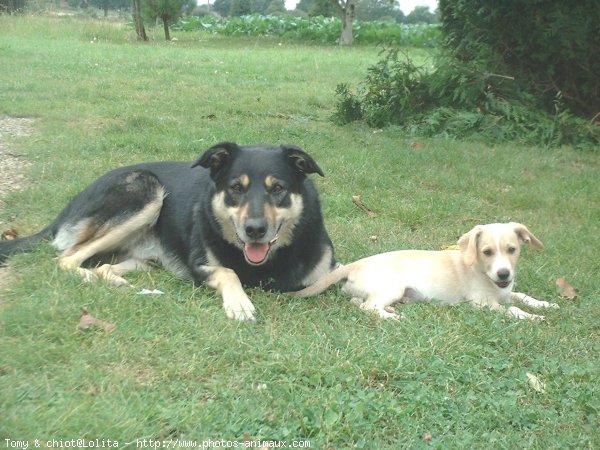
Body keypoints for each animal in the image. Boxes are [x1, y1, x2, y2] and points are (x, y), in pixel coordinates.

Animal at [0, 142, 338, 320]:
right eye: (235, 188)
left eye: (278, 188)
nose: (254, 230)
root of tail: (73, 201)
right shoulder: (200, 266)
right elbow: (228, 271)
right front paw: (239, 303)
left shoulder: (327, 269)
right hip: (146, 190)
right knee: (66, 258)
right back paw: (90, 276)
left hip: (143, 257)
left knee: (106, 265)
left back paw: (113, 280)